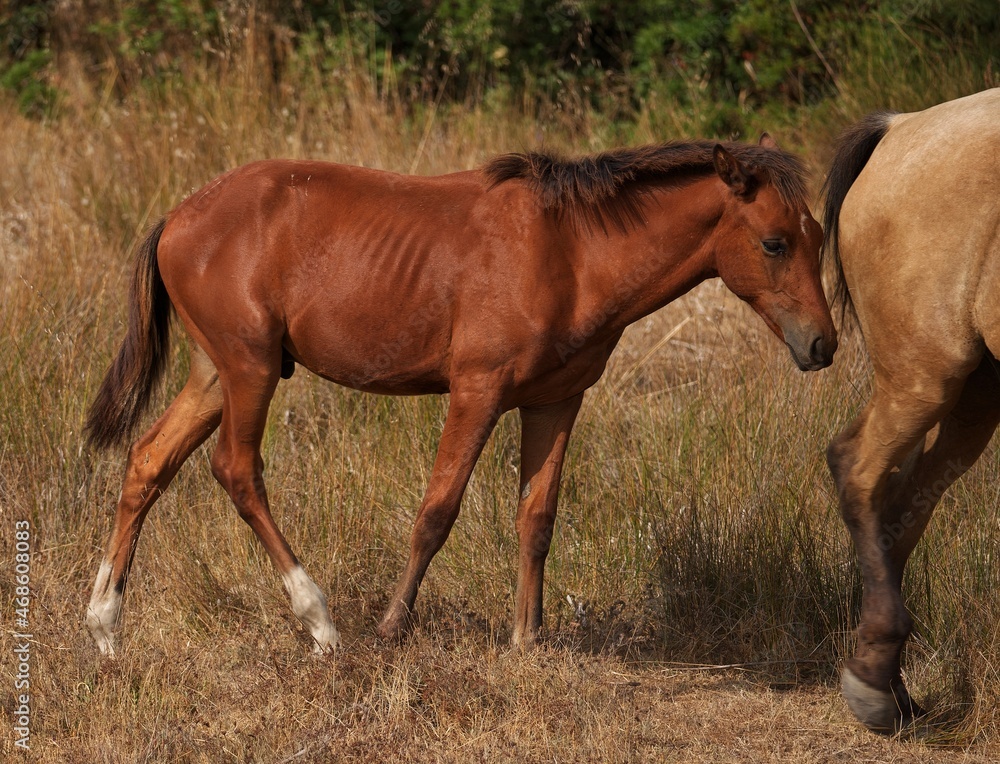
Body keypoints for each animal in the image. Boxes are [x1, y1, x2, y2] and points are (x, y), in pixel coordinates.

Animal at [84, 134, 836, 657]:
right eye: (774, 243)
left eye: (818, 236)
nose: (822, 345)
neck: (570, 251)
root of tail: (179, 217)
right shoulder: (477, 390)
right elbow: (437, 510)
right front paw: (393, 627)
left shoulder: (557, 401)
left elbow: (537, 518)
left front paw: (528, 638)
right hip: (251, 369)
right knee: (236, 470)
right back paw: (320, 620)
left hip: (218, 372)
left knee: (148, 462)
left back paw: (104, 624)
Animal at [823, 88, 1000, 731]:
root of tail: (901, 128)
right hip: (926, 375)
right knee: (858, 469)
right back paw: (875, 682)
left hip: (976, 393)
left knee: (901, 506)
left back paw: (890, 683)